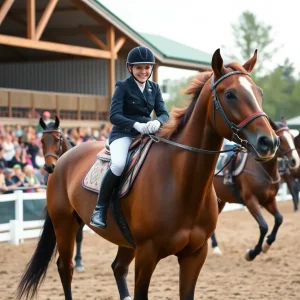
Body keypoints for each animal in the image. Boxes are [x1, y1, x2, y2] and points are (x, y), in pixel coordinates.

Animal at [211, 122, 300, 260]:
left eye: (292, 137)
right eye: (282, 139)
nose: (294, 160)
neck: (261, 169)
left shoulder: (269, 200)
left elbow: (279, 219)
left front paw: (267, 244)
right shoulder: (250, 200)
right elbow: (264, 226)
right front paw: (252, 253)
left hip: (220, 201)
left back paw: (215, 248)